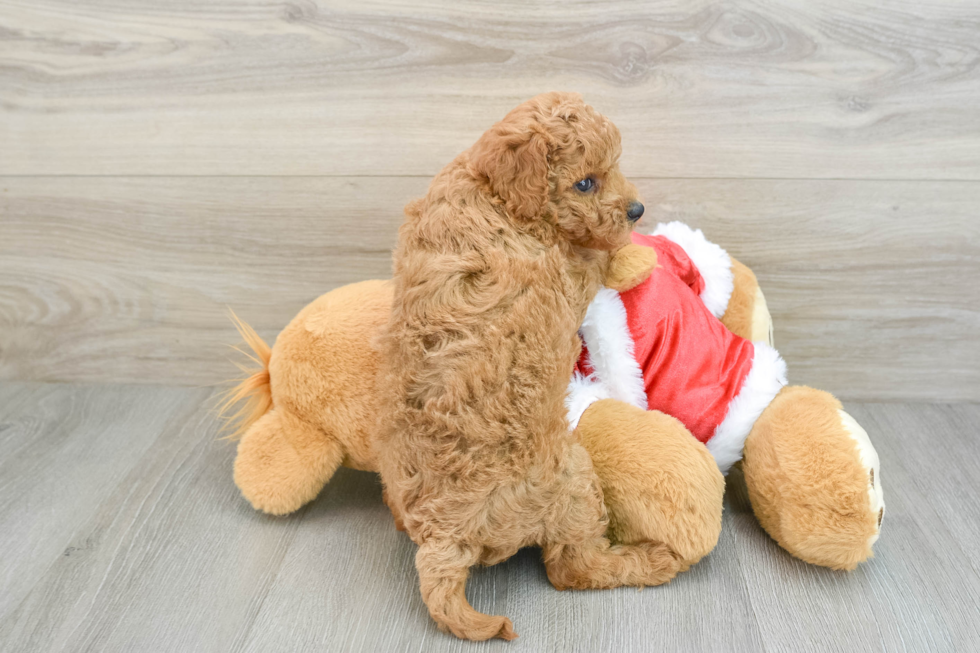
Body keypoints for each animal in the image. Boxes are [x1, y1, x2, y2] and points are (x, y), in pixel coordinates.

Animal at [376, 93, 680, 640]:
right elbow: (593, 260)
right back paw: (651, 560)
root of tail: (442, 538)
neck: (492, 192)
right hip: (574, 482)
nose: (637, 210)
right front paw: (629, 255)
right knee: (573, 568)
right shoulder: (562, 278)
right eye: (585, 183)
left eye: (615, 166)